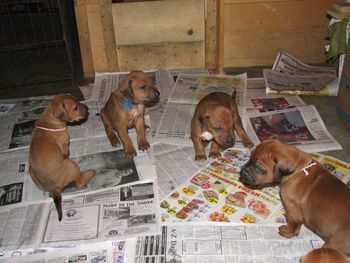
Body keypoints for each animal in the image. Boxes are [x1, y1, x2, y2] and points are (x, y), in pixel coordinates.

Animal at [28, 94, 95, 222]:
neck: (50, 117)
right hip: (71, 164)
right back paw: (89, 173)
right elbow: (66, 153)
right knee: (79, 181)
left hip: (32, 174)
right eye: (75, 108)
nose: (88, 109)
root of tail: (53, 188)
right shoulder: (65, 144)